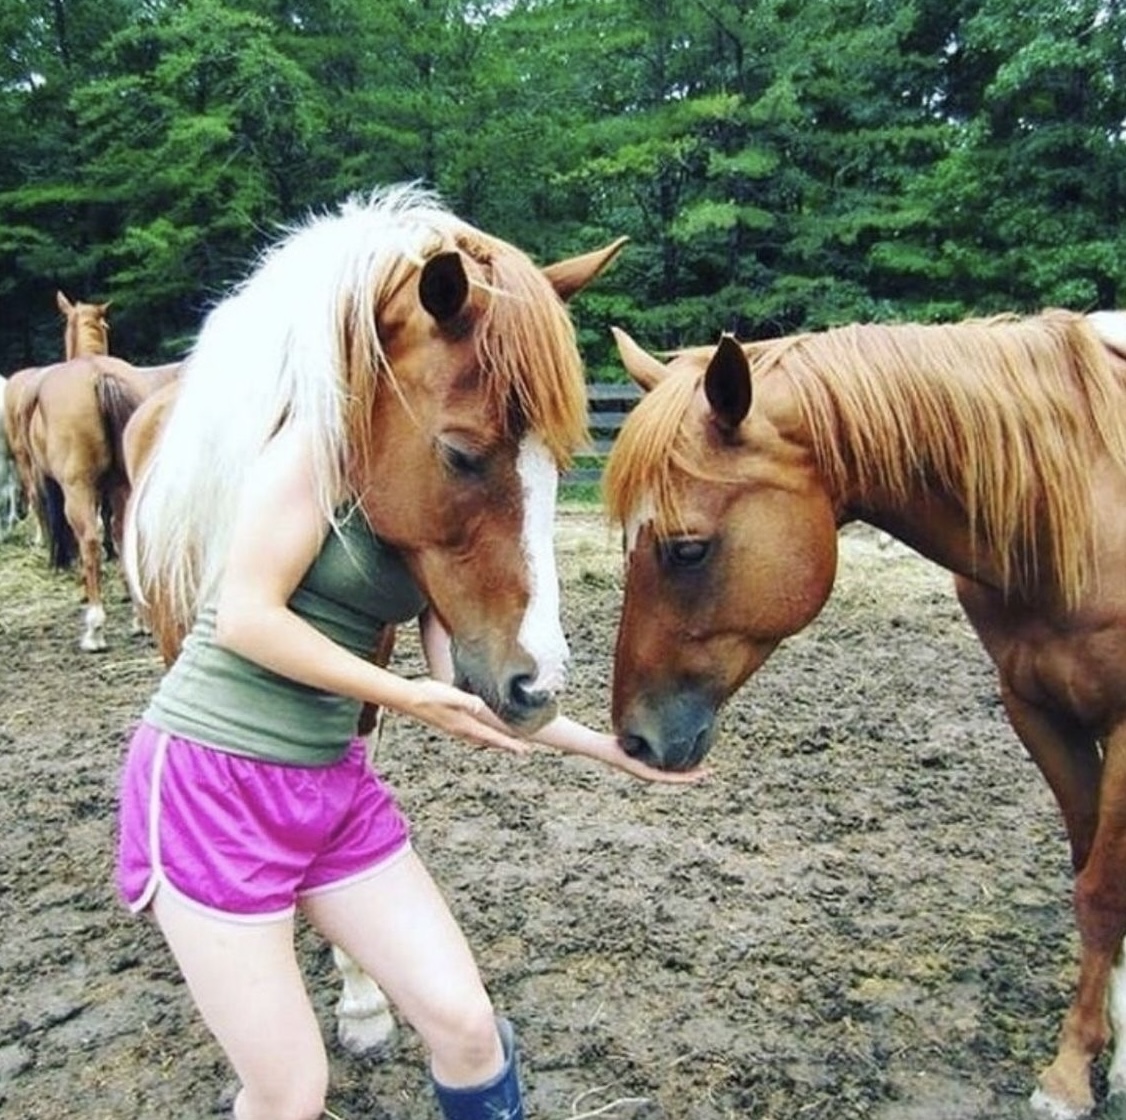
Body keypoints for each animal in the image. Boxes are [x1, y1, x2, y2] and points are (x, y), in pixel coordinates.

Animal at [604, 310, 1126, 1120]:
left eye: (687, 550)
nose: (635, 737)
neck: (1076, 508)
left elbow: (1102, 892)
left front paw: (1072, 1073)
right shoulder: (1037, 712)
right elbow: (1090, 868)